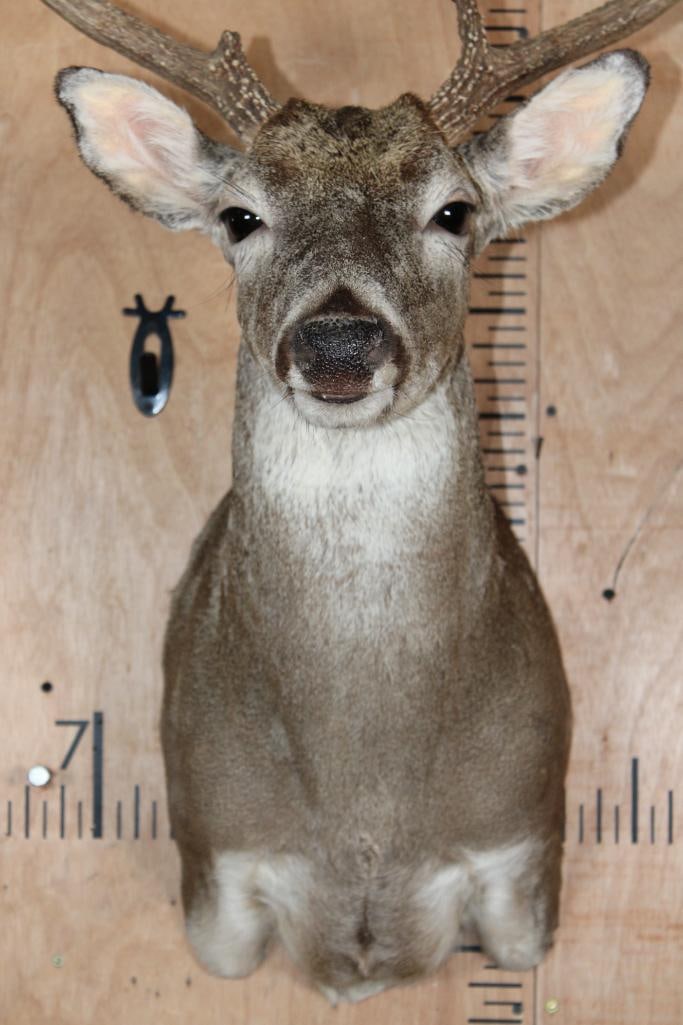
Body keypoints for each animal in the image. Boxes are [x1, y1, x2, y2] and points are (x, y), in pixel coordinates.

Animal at [46, 0, 679, 1005]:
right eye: (240, 216)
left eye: (454, 211)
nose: (338, 342)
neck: (364, 804)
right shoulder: (213, 864)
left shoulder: (523, 857)